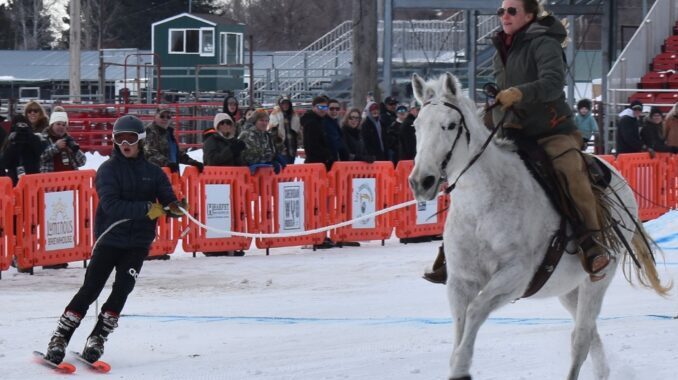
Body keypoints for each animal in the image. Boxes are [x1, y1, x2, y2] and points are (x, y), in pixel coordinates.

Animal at [410, 72, 668, 380]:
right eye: (416, 126)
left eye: (449, 125)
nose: (421, 181)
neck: (481, 206)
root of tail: (618, 178)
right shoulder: (460, 281)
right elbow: (461, 325)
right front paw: (457, 363)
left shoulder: (515, 276)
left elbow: (475, 311)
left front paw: (461, 366)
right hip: (568, 289)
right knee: (589, 332)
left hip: (598, 279)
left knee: (581, 339)